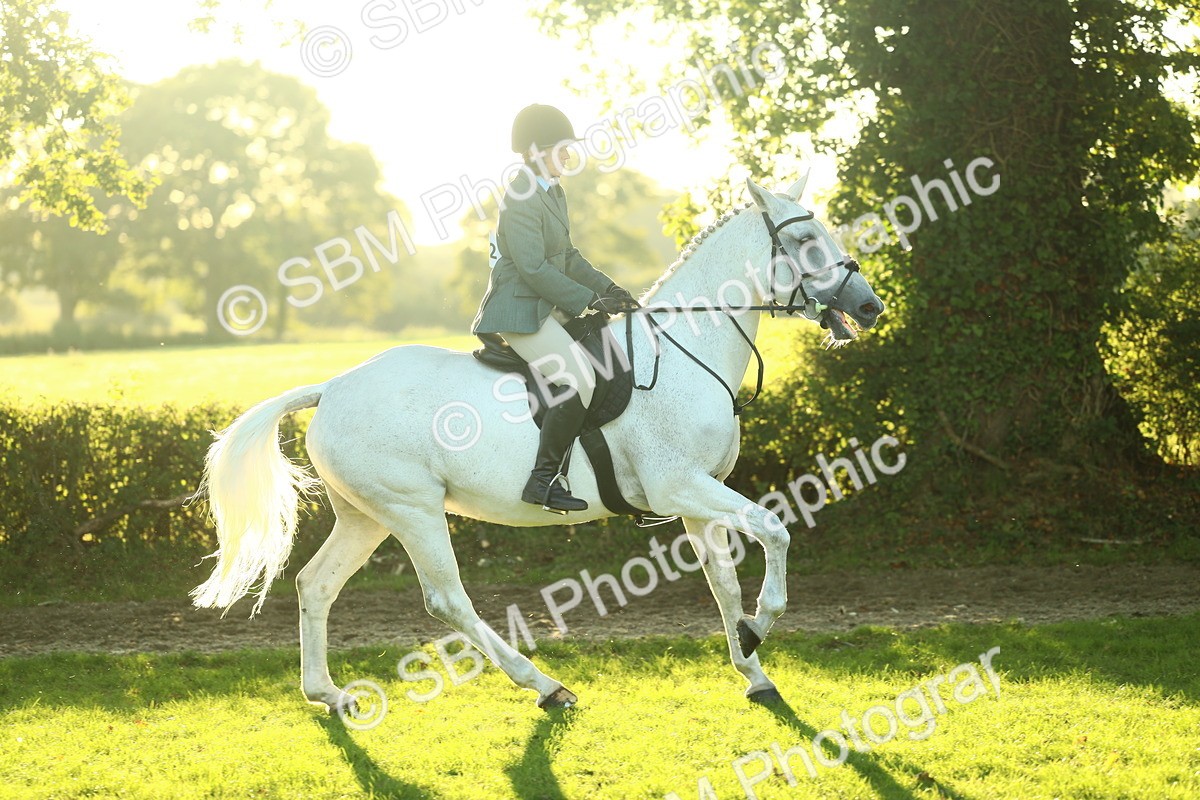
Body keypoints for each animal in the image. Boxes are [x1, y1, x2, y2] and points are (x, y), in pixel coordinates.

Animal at [191, 175, 885, 712]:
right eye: (805, 242)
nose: (869, 306)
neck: (686, 349)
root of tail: (331, 387)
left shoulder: (697, 496)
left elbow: (724, 584)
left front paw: (752, 668)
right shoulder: (681, 487)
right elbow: (775, 531)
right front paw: (759, 628)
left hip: (366, 515)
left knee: (316, 585)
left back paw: (328, 695)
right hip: (412, 509)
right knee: (448, 600)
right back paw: (546, 687)